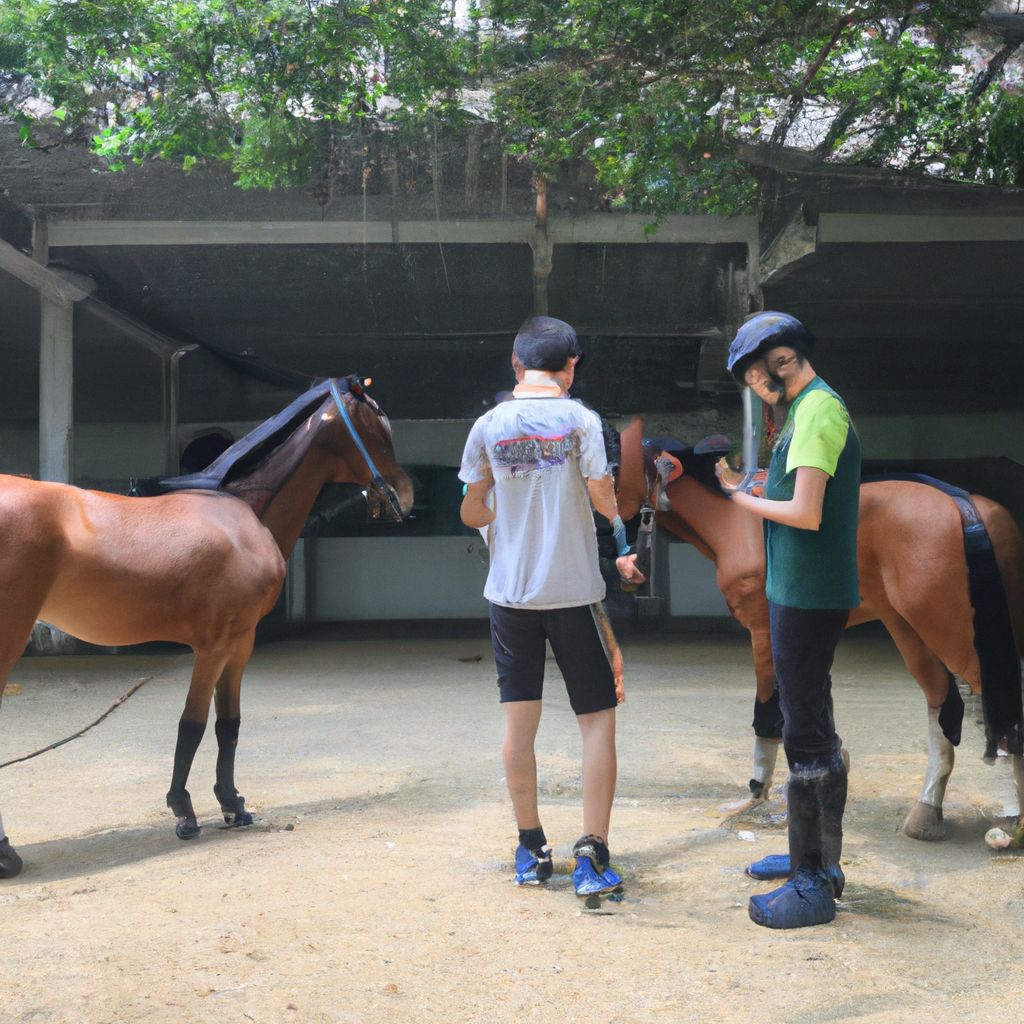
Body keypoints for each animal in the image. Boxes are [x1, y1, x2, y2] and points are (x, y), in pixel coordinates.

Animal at [2, 380, 415, 876]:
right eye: (375, 428)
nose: (405, 496)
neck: (242, 516)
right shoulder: (216, 646)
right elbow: (193, 725)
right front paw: (184, 812)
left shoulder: (239, 645)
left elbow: (228, 724)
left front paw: (232, 804)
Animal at [614, 419, 1024, 843]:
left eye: (618, 464)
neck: (737, 522)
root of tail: (968, 505)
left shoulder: (764, 632)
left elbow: (769, 711)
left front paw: (758, 791)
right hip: (911, 627)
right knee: (944, 702)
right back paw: (927, 811)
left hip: (952, 632)